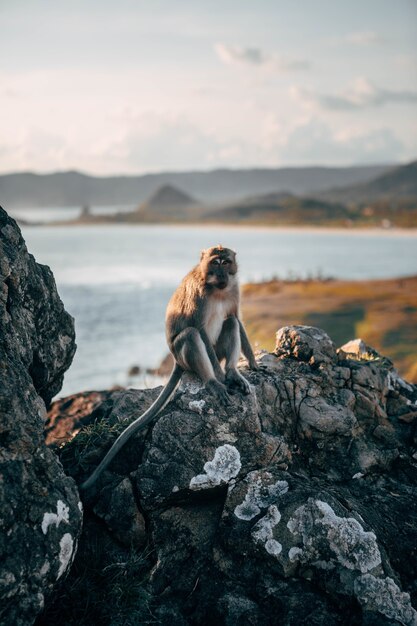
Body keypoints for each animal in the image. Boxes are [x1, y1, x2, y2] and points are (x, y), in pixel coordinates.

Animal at [79, 245, 256, 492]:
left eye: (226, 262)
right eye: (215, 262)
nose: (221, 275)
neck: (217, 289)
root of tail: (176, 362)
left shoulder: (234, 290)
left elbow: (236, 318)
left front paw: (252, 363)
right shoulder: (199, 296)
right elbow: (200, 329)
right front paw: (219, 376)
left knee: (229, 322)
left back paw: (232, 372)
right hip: (184, 357)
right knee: (190, 334)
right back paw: (213, 380)